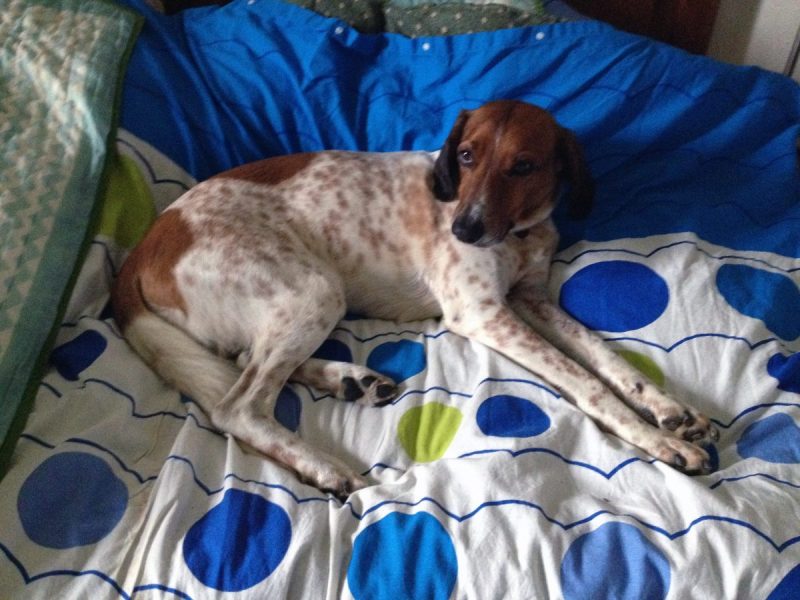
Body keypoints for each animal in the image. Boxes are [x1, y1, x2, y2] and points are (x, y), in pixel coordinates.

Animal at [112, 100, 718, 499]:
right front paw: (657, 440)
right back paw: (326, 467)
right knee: (239, 406)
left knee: (241, 360)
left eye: (523, 165)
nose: (464, 229)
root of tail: (142, 246)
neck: (518, 235)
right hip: (314, 291)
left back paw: (350, 380)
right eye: (467, 155)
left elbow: (606, 357)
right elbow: (586, 381)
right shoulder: (484, 313)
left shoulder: (530, 298)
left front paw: (670, 410)